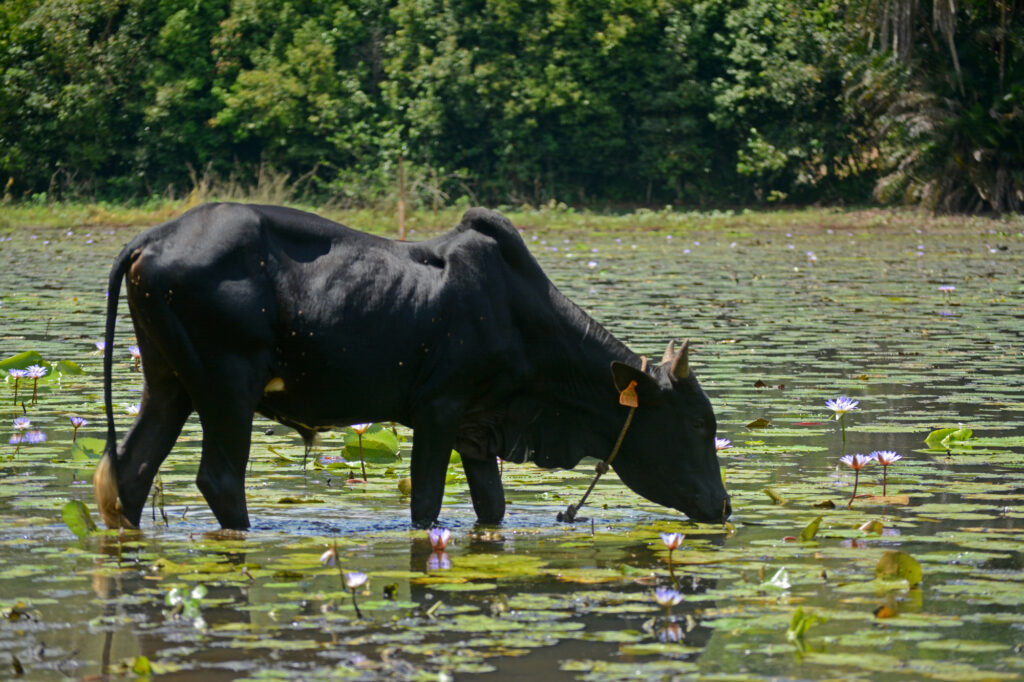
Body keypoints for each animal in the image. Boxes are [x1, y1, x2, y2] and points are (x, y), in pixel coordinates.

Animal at [94, 203, 730, 530]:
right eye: (700, 424)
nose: (723, 507)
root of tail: (152, 237)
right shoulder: (438, 409)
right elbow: (425, 503)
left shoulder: (478, 428)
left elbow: (492, 507)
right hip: (227, 386)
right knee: (220, 478)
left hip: (169, 384)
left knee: (130, 470)